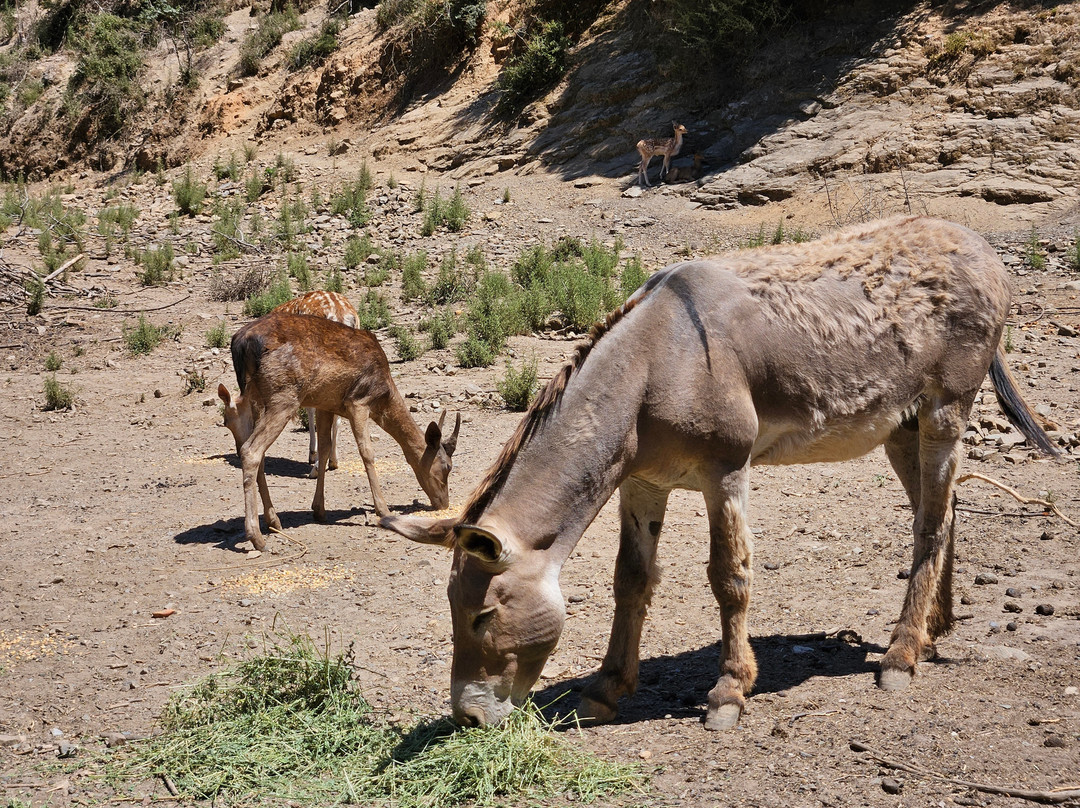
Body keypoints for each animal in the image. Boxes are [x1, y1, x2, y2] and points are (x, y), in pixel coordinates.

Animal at [217, 308, 457, 548]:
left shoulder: (326, 404)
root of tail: (240, 342)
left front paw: (319, 510)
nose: (443, 503)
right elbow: (367, 452)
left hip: (256, 399)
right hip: (283, 396)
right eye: (447, 466)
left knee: (258, 452)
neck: (384, 396)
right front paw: (383, 509)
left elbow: (324, 449)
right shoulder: (358, 401)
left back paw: (274, 520)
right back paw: (256, 536)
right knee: (251, 450)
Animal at [380, 216, 1062, 730]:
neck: (653, 366)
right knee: (942, 510)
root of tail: (976, 241)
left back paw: (900, 656)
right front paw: (606, 688)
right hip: (902, 424)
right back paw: (932, 629)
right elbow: (631, 580)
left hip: (947, 409)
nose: (467, 719)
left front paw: (729, 692)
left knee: (927, 526)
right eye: (451, 611)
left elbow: (729, 578)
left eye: (483, 617)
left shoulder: (725, 472)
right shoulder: (643, 482)